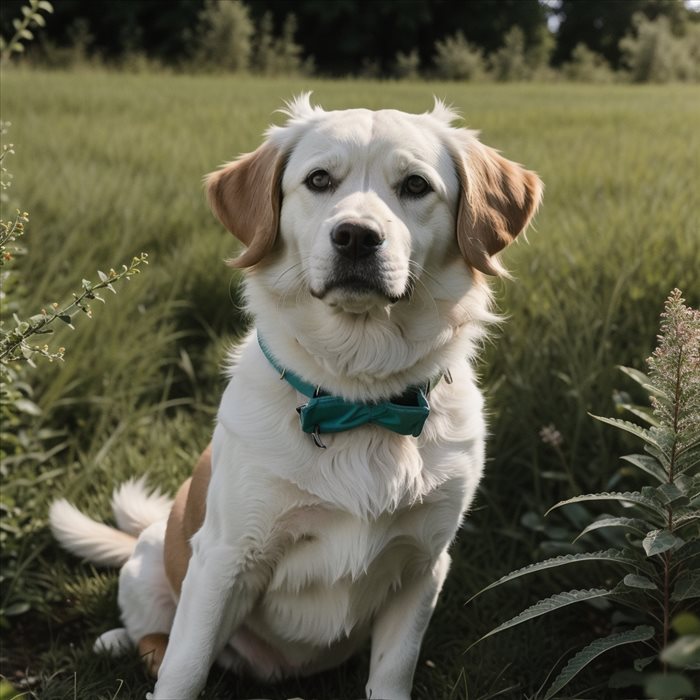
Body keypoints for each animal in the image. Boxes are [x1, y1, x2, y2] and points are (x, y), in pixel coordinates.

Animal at [50, 94, 540, 700]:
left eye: (416, 185)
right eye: (319, 179)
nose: (356, 235)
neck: (358, 398)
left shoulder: (423, 567)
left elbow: (392, 672)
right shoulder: (224, 560)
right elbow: (184, 671)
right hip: (150, 563)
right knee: (153, 634)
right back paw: (120, 640)